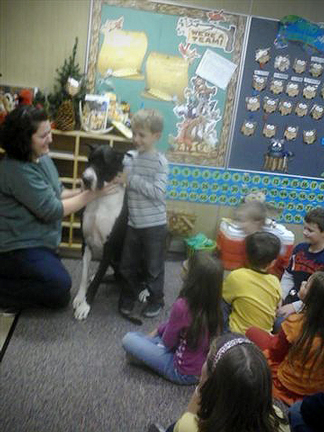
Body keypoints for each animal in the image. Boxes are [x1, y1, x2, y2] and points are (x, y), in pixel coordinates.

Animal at [73, 145, 128, 320]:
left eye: (104, 163)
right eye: (89, 160)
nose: (85, 179)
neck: (100, 198)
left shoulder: (108, 250)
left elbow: (97, 280)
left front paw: (85, 306)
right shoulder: (86, 244)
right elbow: (84, 275)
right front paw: (80, 298)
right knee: (115, 277)